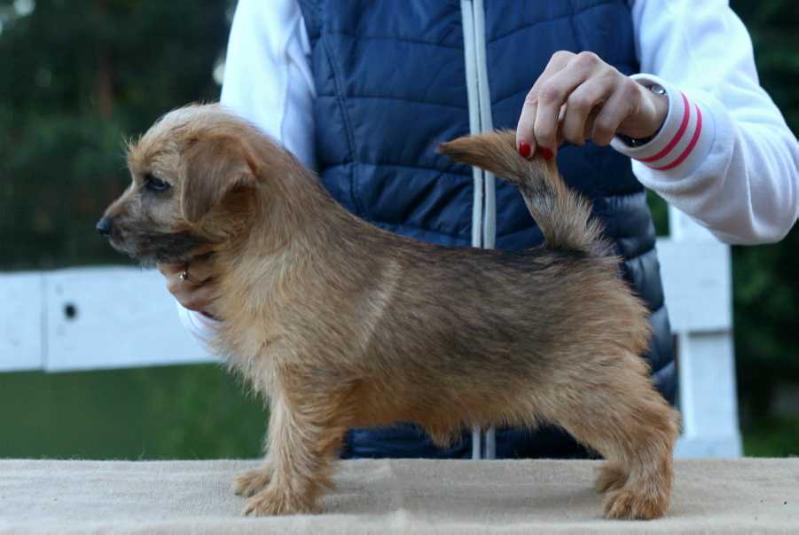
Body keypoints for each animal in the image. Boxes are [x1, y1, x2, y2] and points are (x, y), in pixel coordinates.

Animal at [97, 103, 680, 520]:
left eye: (157, 184)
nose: (102, 227)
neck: (270, 248)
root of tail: (575, 254)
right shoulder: (290, 386)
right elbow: (279, 434)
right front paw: (268, 479)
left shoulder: (308, 383)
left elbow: (295, 440)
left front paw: (283, 498)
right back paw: (621, 476)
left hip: (586, 389)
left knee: (656, 424)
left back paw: (643, 497)